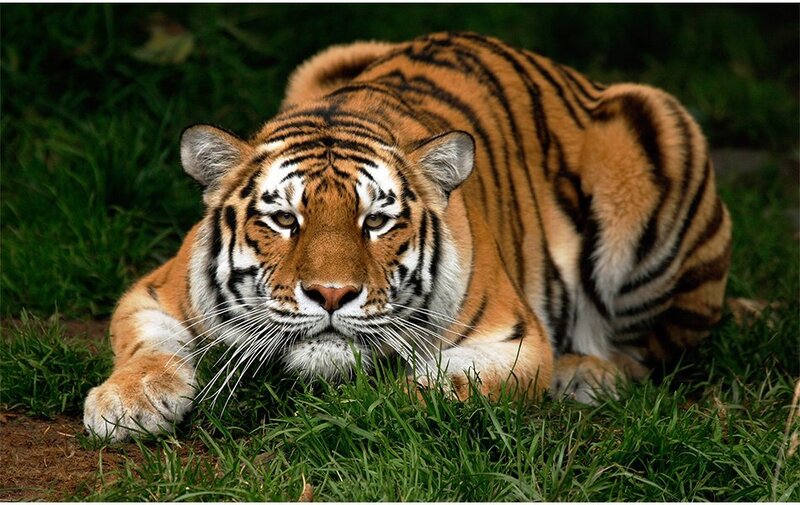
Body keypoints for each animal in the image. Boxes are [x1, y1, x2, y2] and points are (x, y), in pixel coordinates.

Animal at [83, 32, 732, 441]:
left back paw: (586, 374)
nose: (332, 294)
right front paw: (125, 404)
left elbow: (438, 389)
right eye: (285, 220)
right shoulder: (153, 291)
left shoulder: (514, 341)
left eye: (376, 221)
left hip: (657, 133)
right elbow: (148, 348)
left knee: (653, 353)